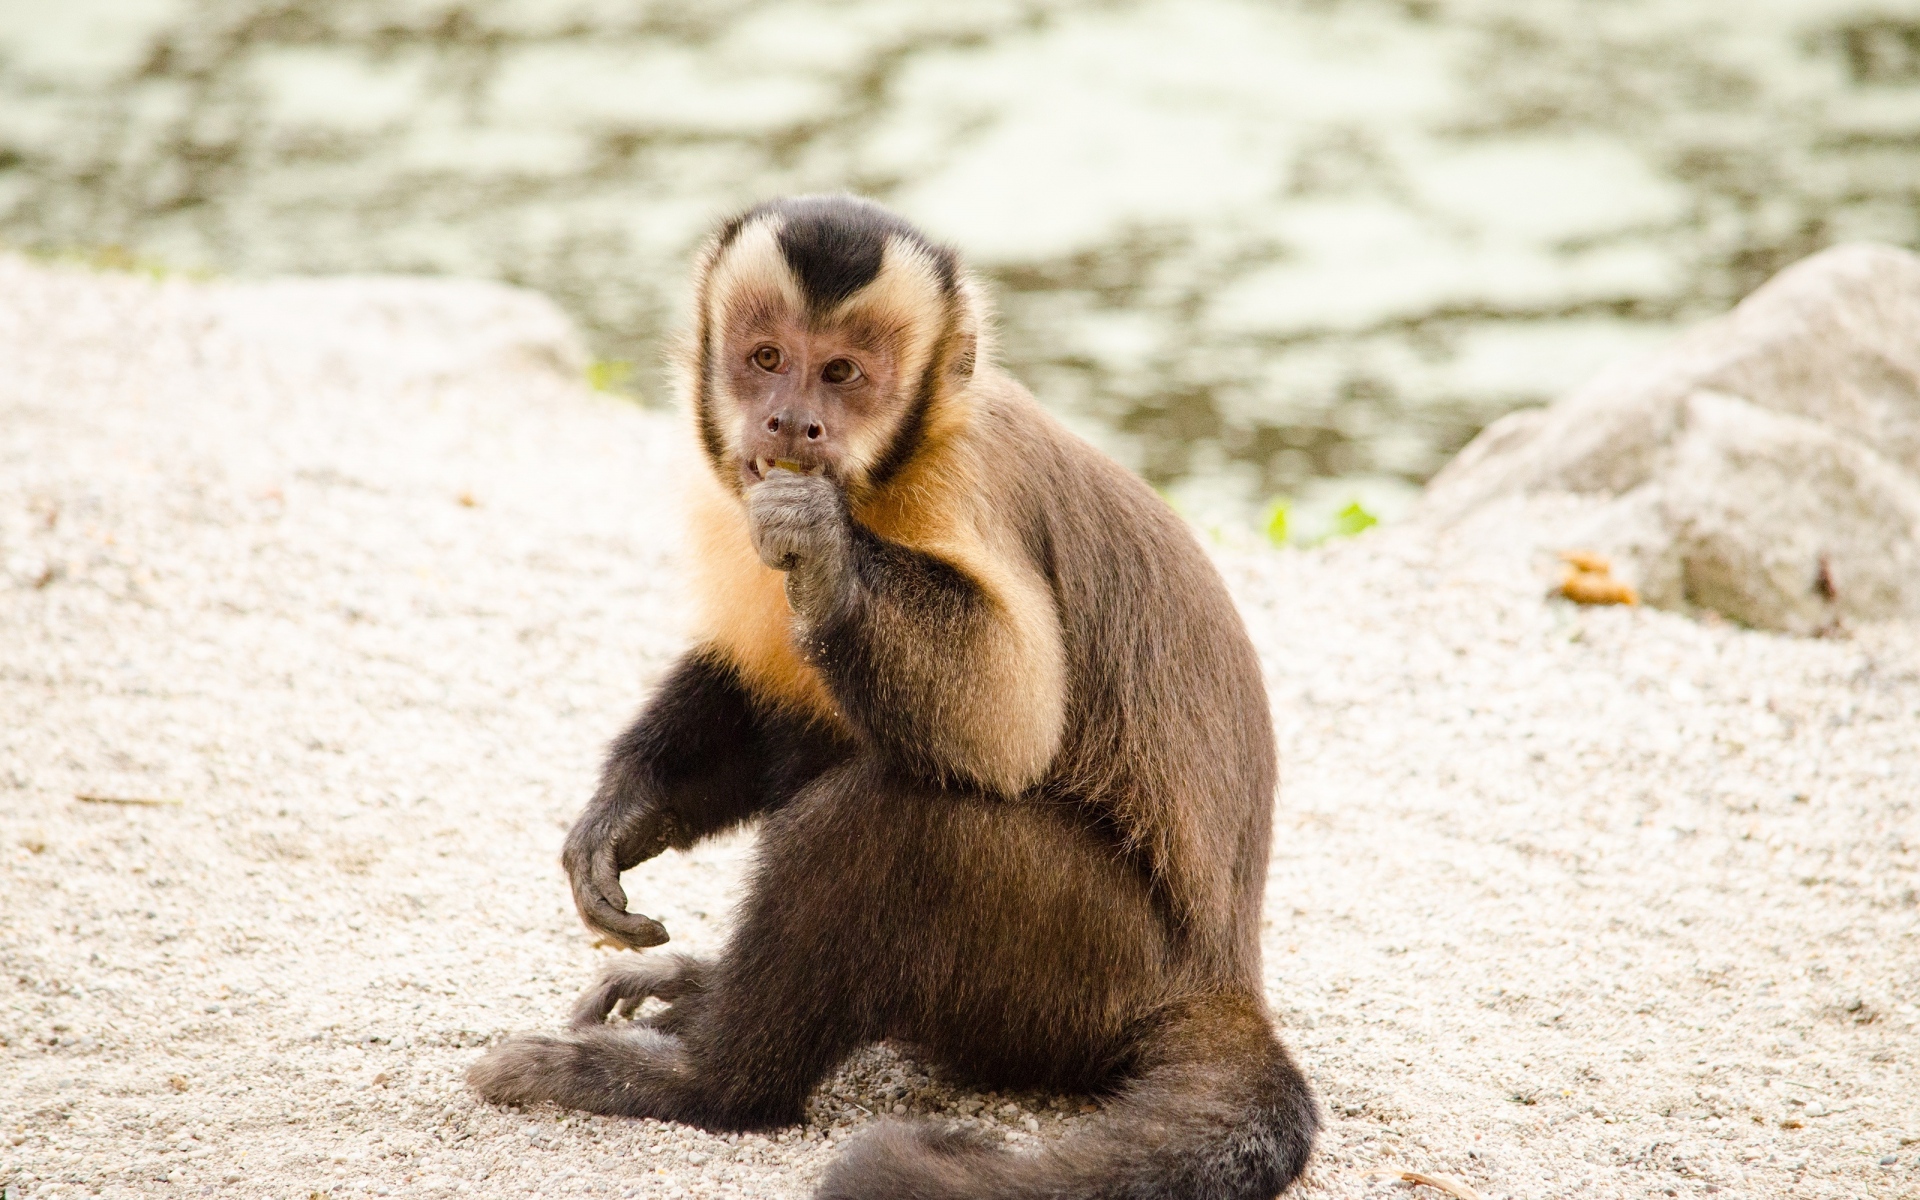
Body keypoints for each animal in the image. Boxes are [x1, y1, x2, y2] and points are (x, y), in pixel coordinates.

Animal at [468, 194, 1318, 1199]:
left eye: (843, 374)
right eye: (767, 359)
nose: (792, 424)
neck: (879, 483)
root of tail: (1224, 979)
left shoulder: (963, 487)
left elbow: (1006, 723)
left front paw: (827, 550)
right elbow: (762, 693)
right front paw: (625, 812)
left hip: (1090, 976)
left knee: (887, 821)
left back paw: (707, 1079)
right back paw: (705, 999)